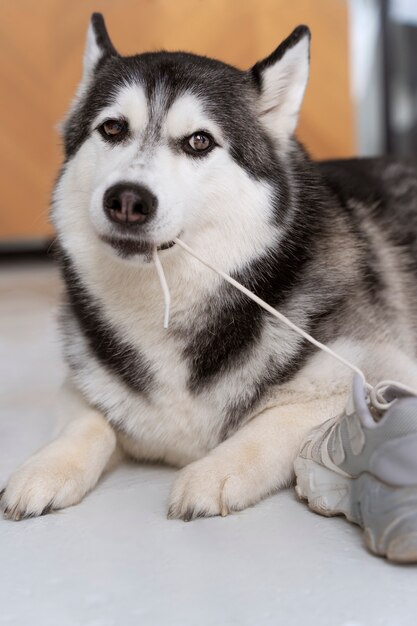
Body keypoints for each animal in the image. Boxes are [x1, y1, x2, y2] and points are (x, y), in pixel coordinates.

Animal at [2, 15, 416, 520]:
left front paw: (214, 471)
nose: (127, 200)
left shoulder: (384, 373)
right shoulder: (83, 380)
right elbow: (88, 419)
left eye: (199, 141)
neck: (168, 302)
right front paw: (47, 466)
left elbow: (272, 423)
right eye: (113, 128)